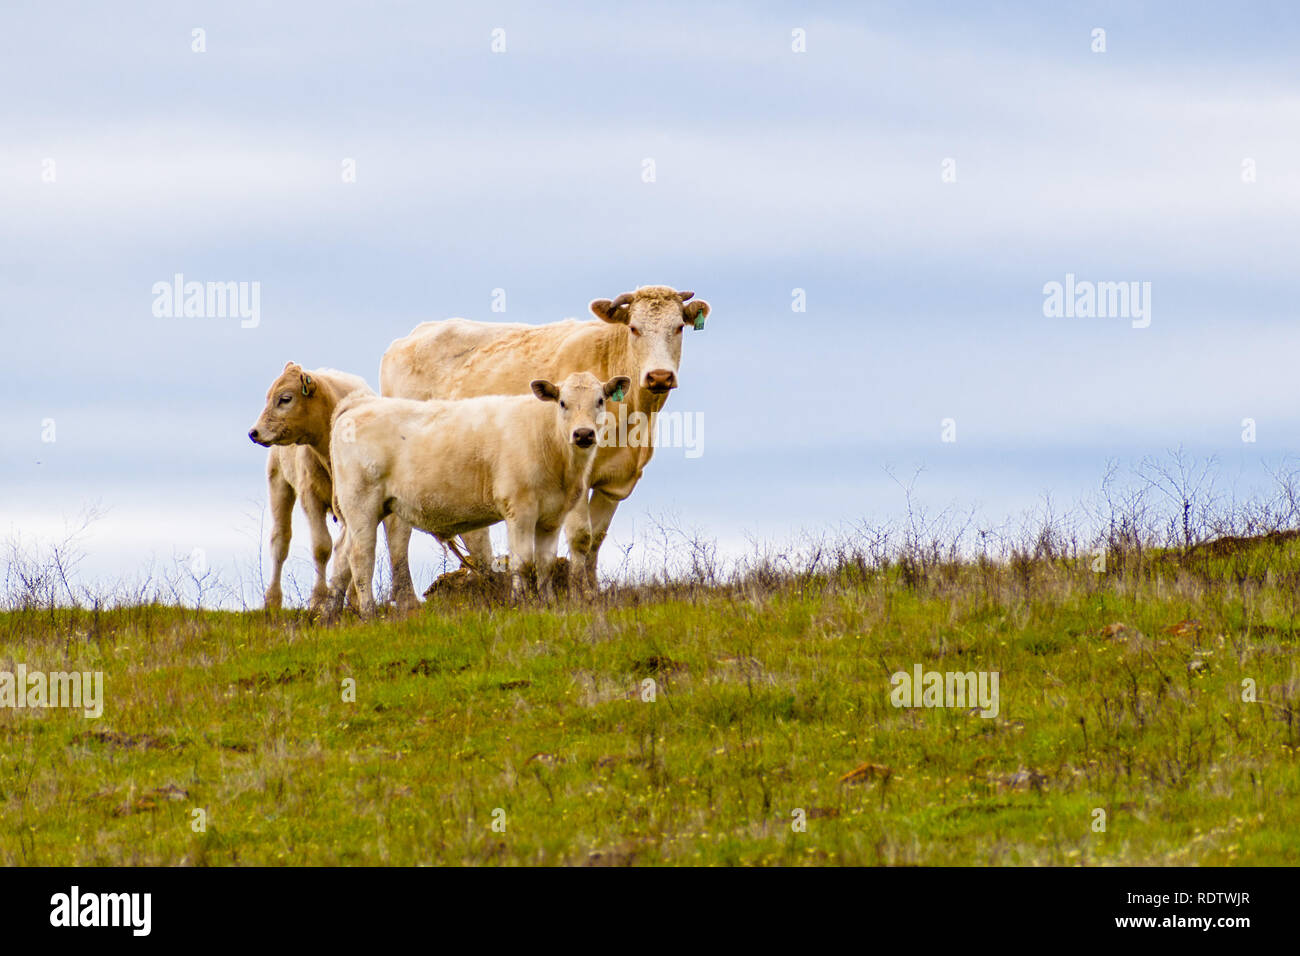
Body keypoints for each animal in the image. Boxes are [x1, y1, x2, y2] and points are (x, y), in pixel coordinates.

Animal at [245, 361, 418, 608]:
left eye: (285, 398)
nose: (254, 432)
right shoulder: (310, 495)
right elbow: (322, 547)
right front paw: (319, 599)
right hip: (278, 481)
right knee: (280, 541)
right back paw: (272, 600)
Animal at [327, 369, 626, 616]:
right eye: (563, 403)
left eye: (600, 400)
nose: (583, 434)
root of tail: (361, 403)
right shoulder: (520, 508)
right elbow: (522, 562)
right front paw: (521, 603)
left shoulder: (552, 516)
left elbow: (545, 563)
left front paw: (548, 603)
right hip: (362, 504)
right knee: (360, 555)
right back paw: (368, 612)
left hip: (358, 512)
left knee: (341, 556)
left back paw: (330, 616)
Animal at [379, 283, 712, 598]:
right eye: (633, 328)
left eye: (678, 327)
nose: (659, 376)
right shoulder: (578, 475)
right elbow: (580, 536)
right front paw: (578, 593)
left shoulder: (615, 482)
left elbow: (596, 538)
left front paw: (593, 590)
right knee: (397, 528)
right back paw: (407, 599)